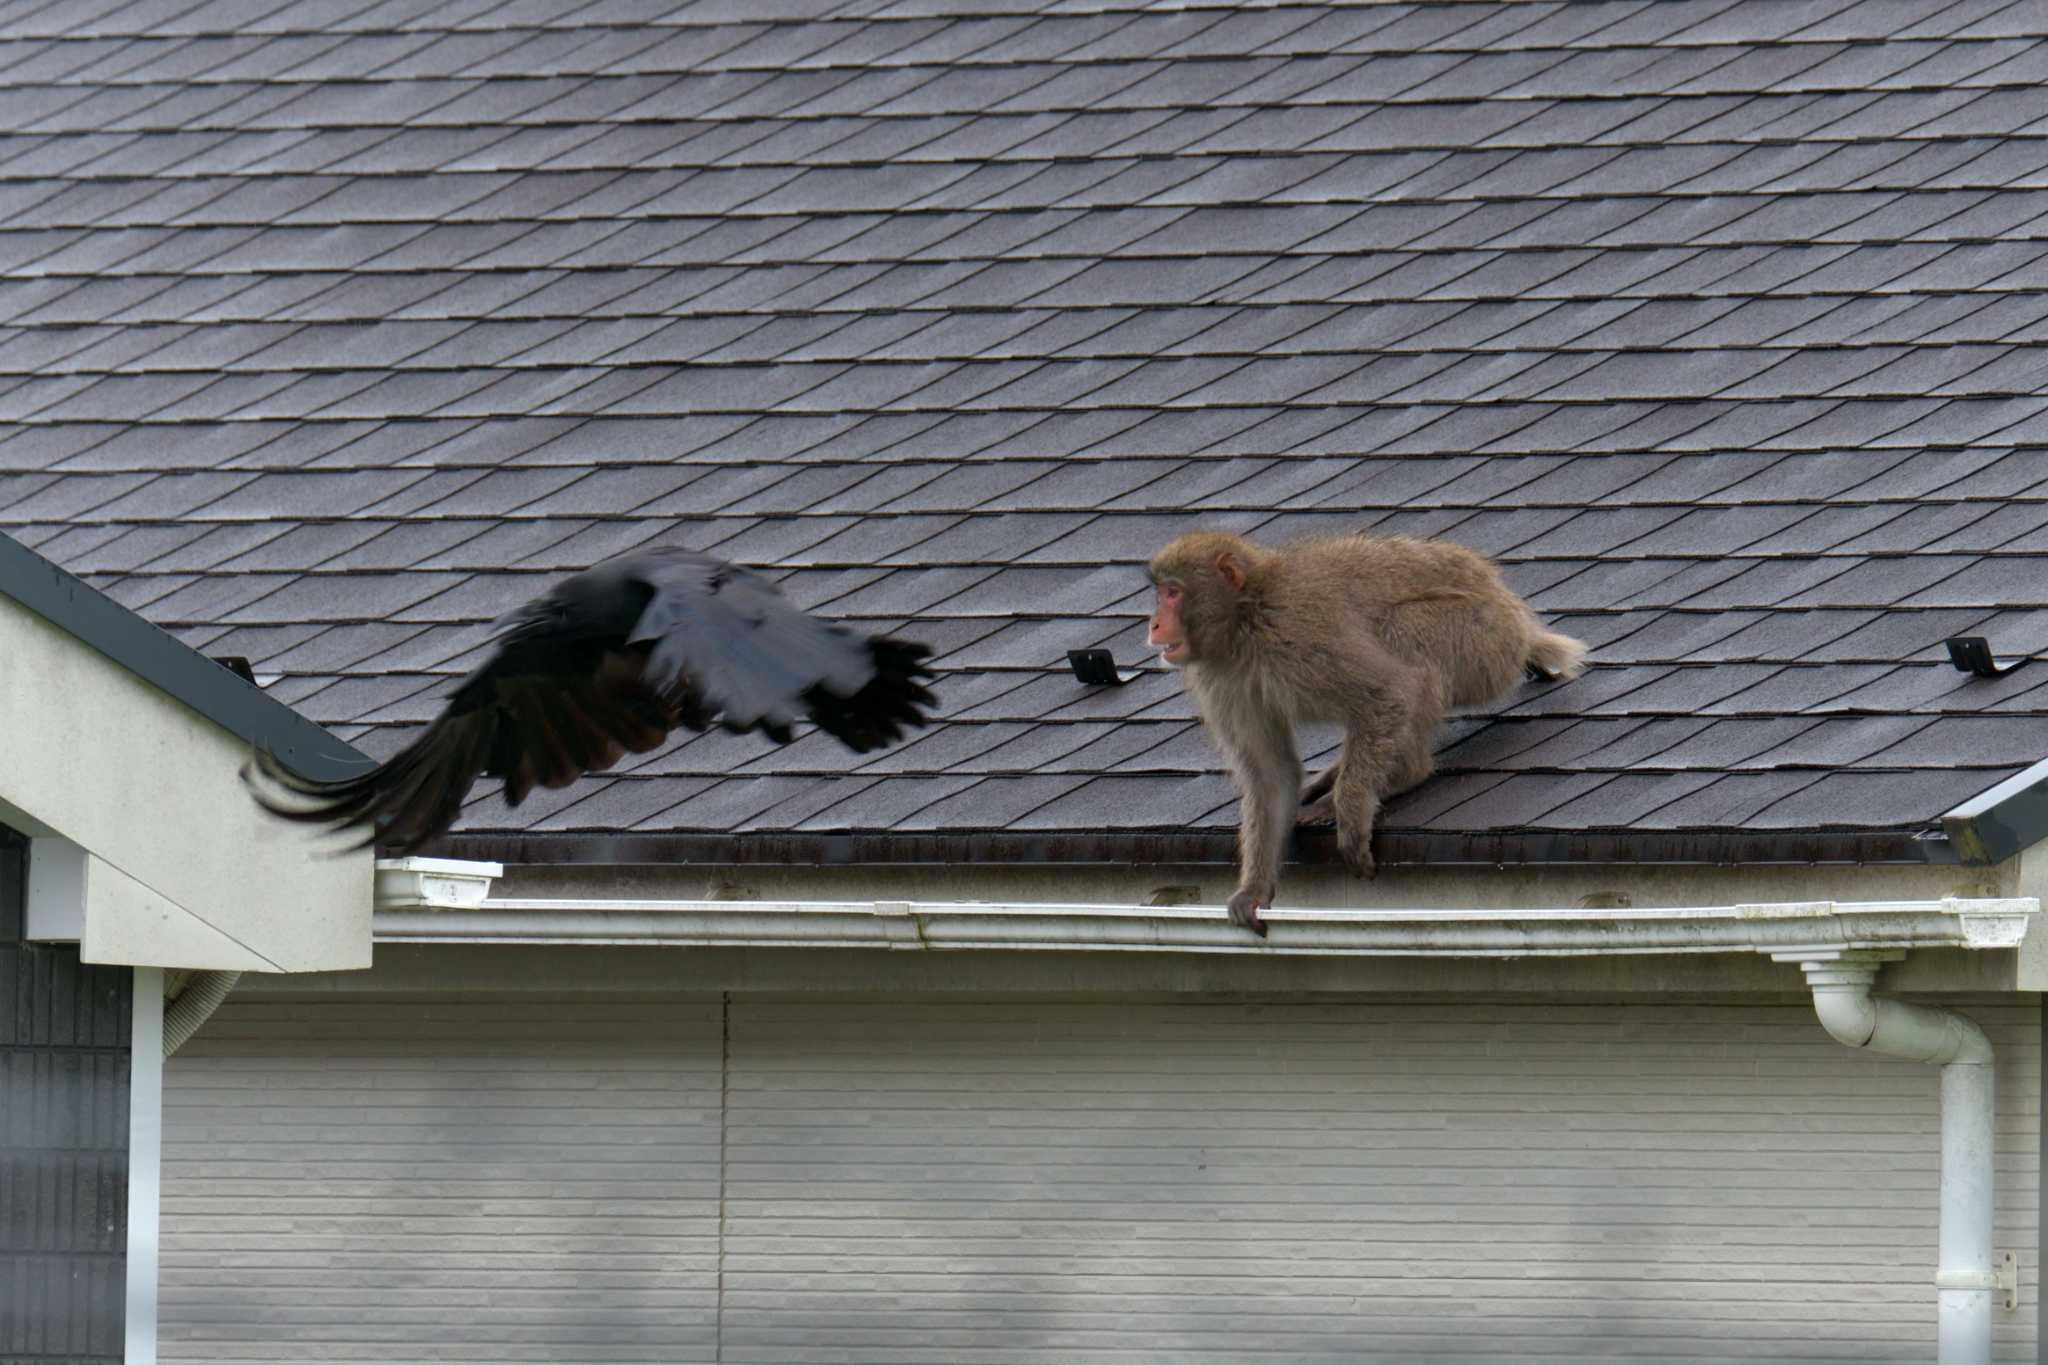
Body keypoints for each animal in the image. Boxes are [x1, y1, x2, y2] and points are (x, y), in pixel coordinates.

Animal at [1155, 527, 1581, 933]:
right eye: (1161, 592)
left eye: (1173, 592)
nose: (1155, 623)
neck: (1245, 621)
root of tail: (1513, 613)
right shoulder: (1221, 678)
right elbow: (1270, 775)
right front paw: (1254, 890)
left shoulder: (1298, 635)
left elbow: (1387, 693)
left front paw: (1352, 810)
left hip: (1484, 642)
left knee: (1405, 633)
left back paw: (1403, 773)